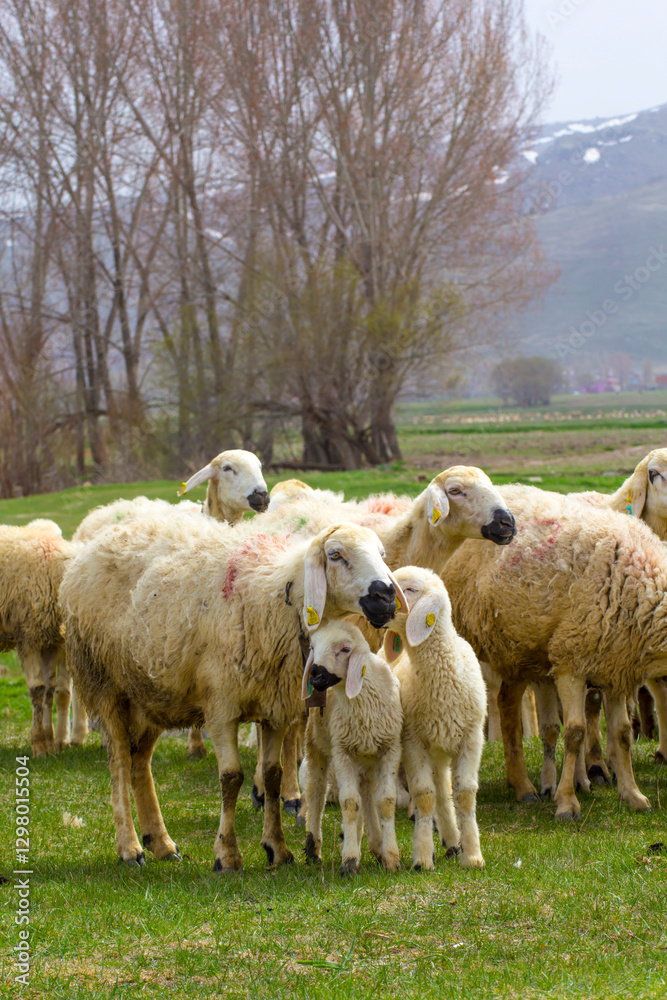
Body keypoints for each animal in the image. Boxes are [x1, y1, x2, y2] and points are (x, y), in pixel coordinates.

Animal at [0, 519, 87, 755]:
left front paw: (50, 743)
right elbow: (38, 690)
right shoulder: (28, 637)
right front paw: (39, 744)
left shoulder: (50, 641)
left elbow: (50, 690)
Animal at [300, 621, 403, 874]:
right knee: (316, 792)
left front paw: (391, 857)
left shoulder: (390, 749)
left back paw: (375, 844)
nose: (315, 674)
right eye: (313, 647)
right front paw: (349, 860)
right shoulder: (342, 751)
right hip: (317, 745)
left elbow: (385, 801)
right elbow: (349, 802)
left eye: (345, 649)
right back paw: (313, 848)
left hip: (366, 756)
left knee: (366, 793)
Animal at [383, 566, 486, 869]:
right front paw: (422, 857)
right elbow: (425, 796)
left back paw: (453, 841)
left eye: (411, 589)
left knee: (444, 789)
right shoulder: (413, 741)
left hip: (441, 746)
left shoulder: (472, 737)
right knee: (438, 790)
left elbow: (465, 794)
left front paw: (472, 855)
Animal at [442, 484, 667, 820]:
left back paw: (519, 783)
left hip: (518, 649)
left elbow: (623, 733)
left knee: (506, 703)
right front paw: (566, 802)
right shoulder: (571, 660)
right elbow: (574, 732)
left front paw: (633, 794)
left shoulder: (616, 666)